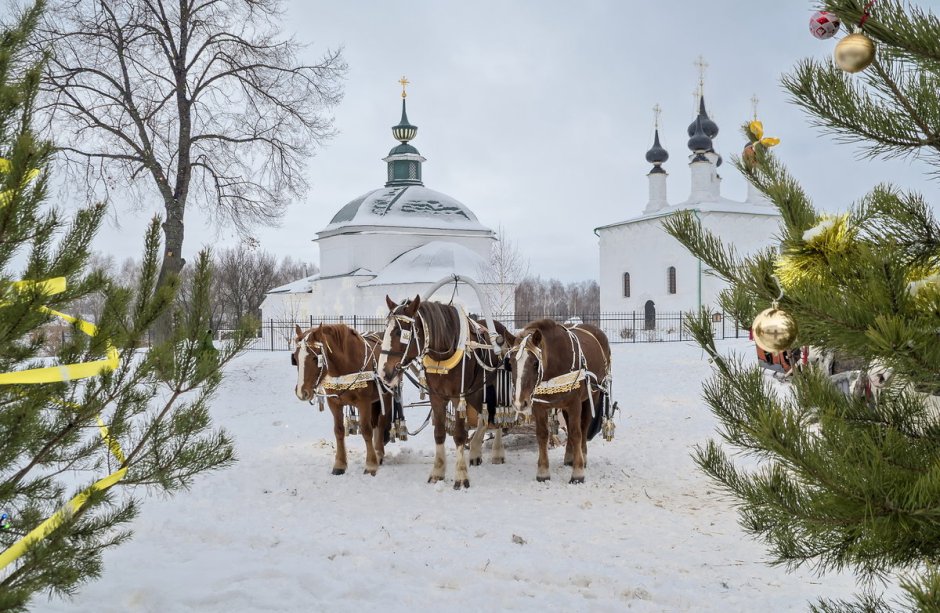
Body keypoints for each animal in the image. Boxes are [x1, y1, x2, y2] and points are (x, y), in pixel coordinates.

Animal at [296, 322, 394, 476]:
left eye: (314, 358)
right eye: (295, 358)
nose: (301, 392)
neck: (344, 366)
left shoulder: (364, 403)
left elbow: (366, 430)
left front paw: (371, 464)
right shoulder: (334, 403)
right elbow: (339, 430)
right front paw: (340, 464)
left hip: (386, 395)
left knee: (381, 422)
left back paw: (378, 453)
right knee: (375, 423)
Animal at [376, 294, 506, 490]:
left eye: (399, 332)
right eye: (386, 329)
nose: (384, 372)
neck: (443, 352)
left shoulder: (458, 398)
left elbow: (459, 435)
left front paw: (461, 476)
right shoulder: (436, 397)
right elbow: (439, 433)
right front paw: (437, 472)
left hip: (493, 386)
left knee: (495, 416)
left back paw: (498, 452)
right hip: (476, 391)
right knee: (483, 416)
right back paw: (475, 451)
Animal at [504, 318, 612, 480]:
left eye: (535, 363)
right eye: (510, 363)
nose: (519, 403)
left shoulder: (574, 404)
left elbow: (576, 433)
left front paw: (578, 472)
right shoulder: (539, 406)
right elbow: (542, 434)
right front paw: (543, 471)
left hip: (591, 396)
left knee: (583, 427)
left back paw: (583, 456)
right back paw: (569, 456)